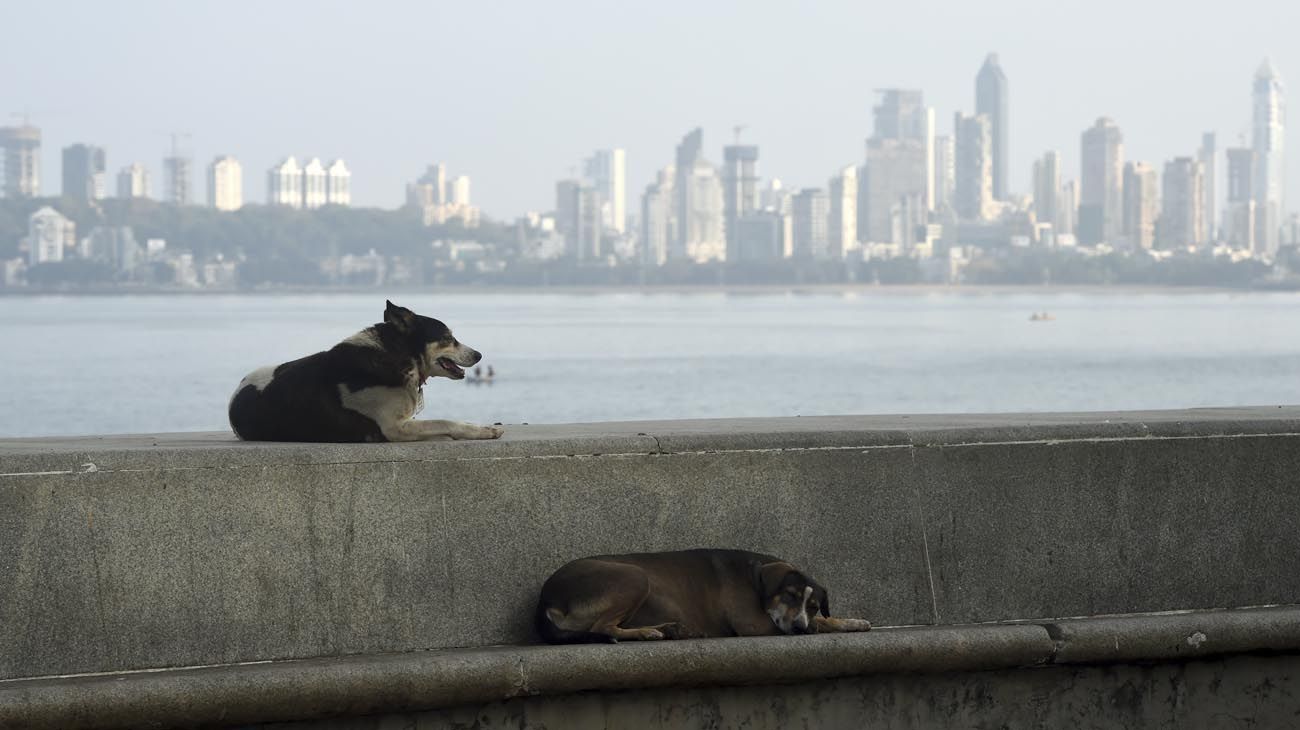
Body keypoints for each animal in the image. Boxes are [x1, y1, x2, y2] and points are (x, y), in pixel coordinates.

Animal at [228, 300, 501, 441]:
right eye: (448, 338)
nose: (478, 355)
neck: (395, 355)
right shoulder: (393, 427)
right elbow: (445, 421)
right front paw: (483, 430)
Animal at [533, 545, 878, 641]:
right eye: (790, 595)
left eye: (815, 604)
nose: (799, 628)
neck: (756, 578)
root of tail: (546, 600)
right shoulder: (754, 624)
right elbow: (821, 624)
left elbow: (827, 620)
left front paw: (853, 622)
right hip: (634, 576)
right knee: (602, 627)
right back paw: (649, 632)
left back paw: (671, 629)